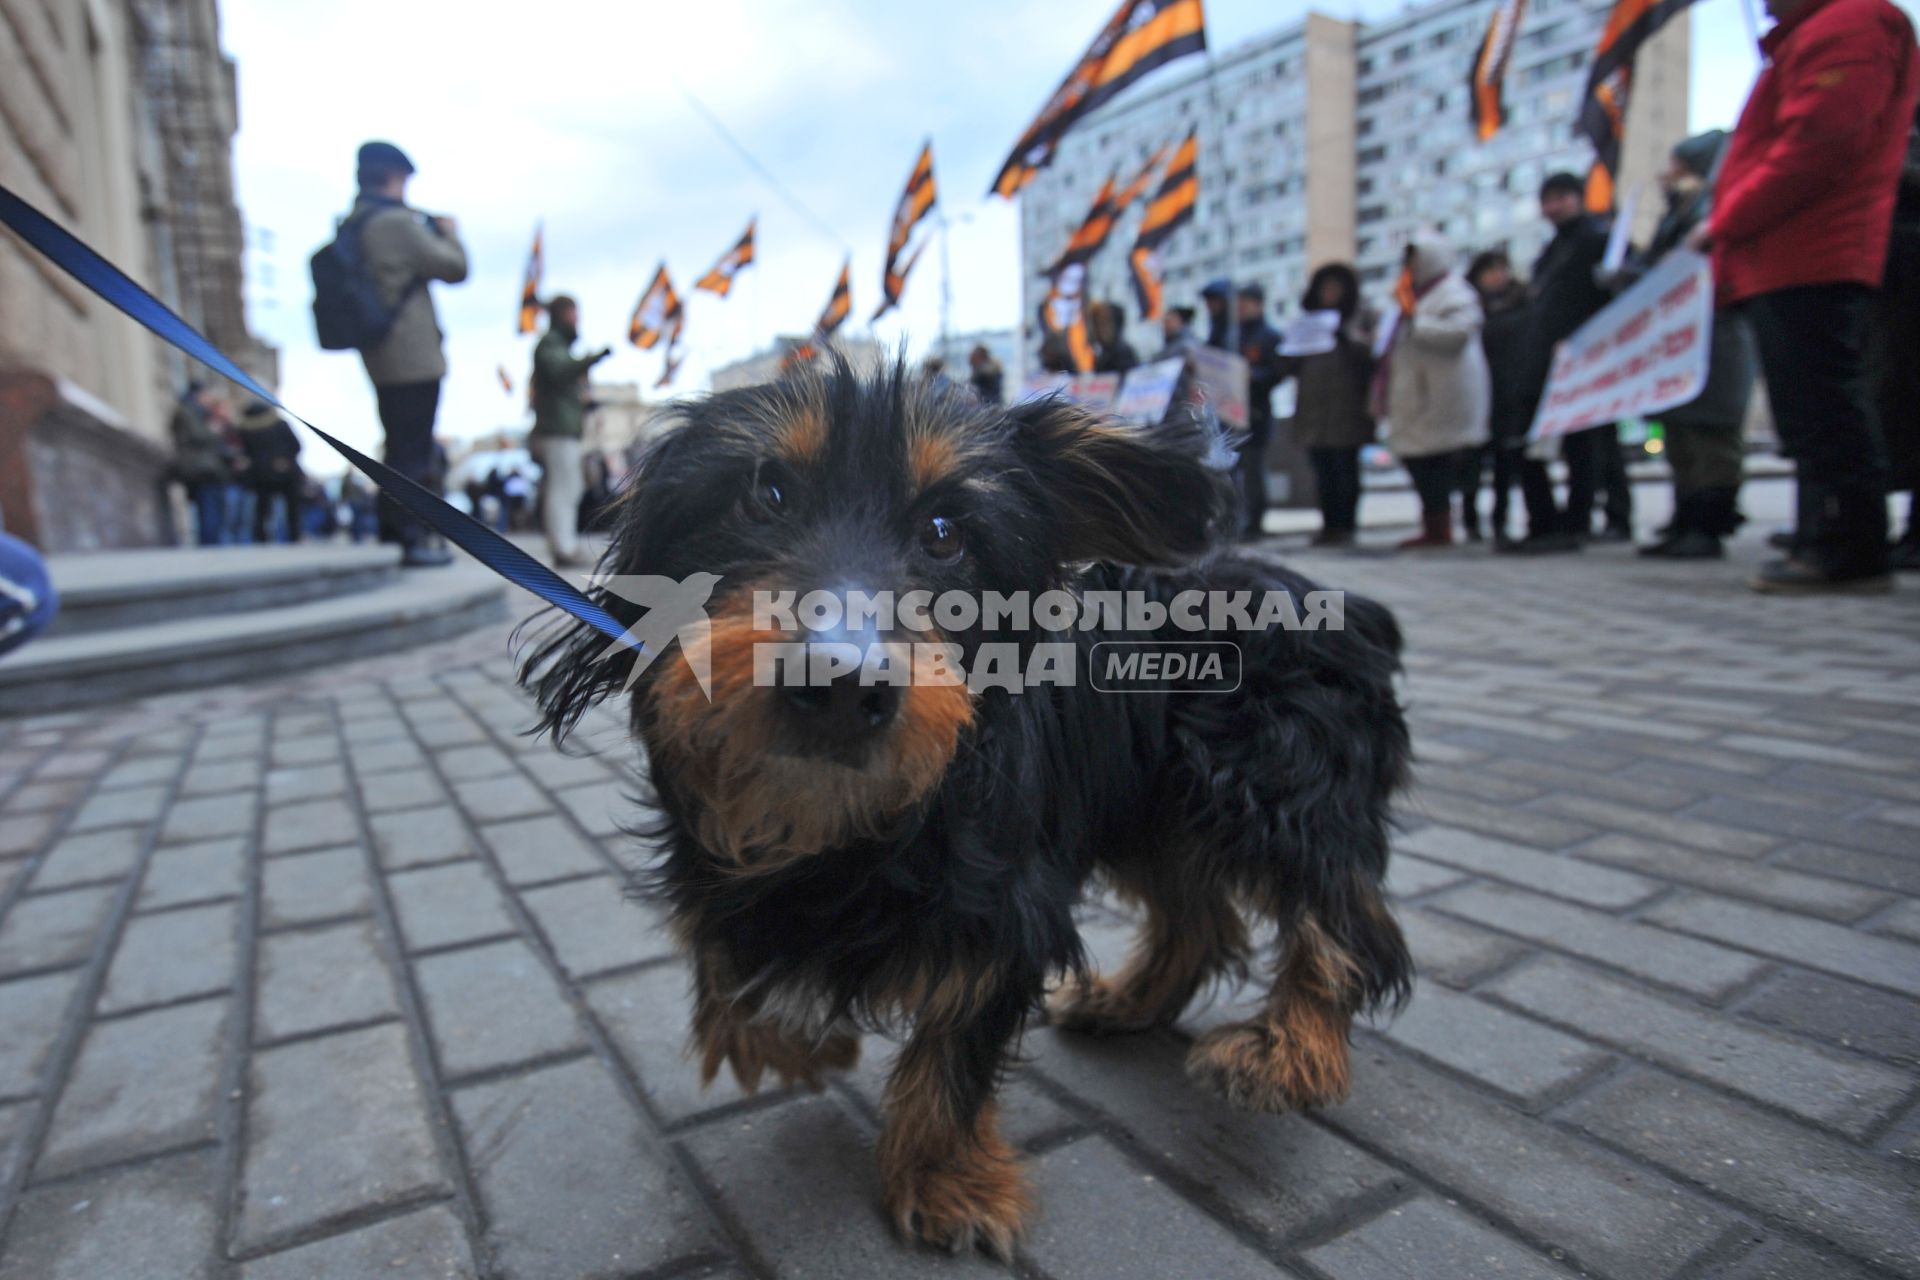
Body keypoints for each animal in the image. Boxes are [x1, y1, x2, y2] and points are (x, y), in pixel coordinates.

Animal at [522, 355, 1413, 1258]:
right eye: (765, 494)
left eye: (947, 532)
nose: (841, 686)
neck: (836, 816)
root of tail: (1333, 599)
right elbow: (729, 946)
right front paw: (779, 1036)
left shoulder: (1005, 898)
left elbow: (956, 1041)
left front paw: (941, 1177)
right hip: (1150, 807)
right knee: (1200, 919)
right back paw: (1131, 1001)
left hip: (1274, 786)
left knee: (1342, 920)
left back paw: (1289, 1050)